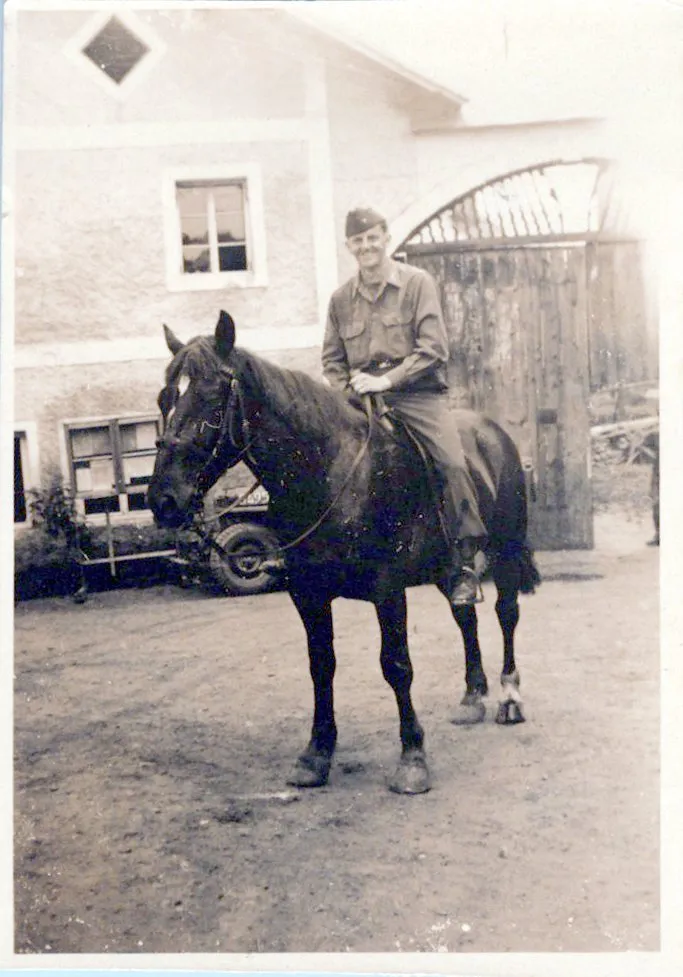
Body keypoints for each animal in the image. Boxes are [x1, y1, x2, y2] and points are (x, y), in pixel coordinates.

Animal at [148, 310, 540, 792]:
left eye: (209, 398)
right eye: (165, 398)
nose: (163, 499)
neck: (329, 472)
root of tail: (494, 434)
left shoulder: (388, 591)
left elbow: (396, 666)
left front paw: (412, 757)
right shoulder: (308, 594)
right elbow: (321, 666)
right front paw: (316, 753)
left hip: (505, 552)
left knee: (507, 614)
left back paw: (509, 696)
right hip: (447, 569)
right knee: (465, 615)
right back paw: (472, 696)